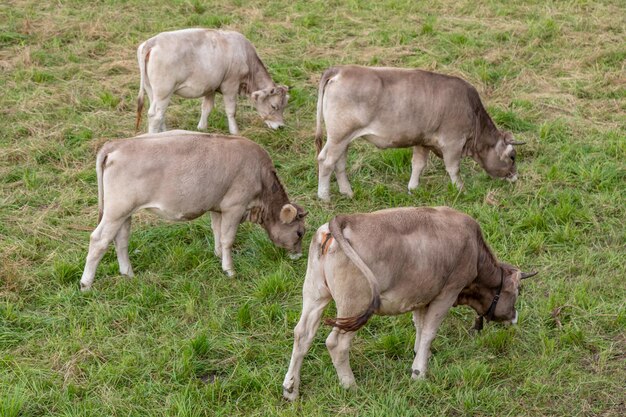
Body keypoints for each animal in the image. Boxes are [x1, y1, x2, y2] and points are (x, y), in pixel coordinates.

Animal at [78, 129, 308, 290]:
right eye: (300, 232)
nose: (298, 256)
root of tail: (117, 143)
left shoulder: (218, 206)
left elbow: (217, 232)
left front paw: (218, 256)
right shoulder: (235, 206)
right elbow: (228, 238)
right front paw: (230, 270)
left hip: (124, 212)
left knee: (121, 239)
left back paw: (128, 274)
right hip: (117, 210)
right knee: (99, 240)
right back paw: (86, 284)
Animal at [135, 29, 288, 136]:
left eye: (284, 106)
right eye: (274, 106)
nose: (281, 126)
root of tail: (153, 41)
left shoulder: (211, 87)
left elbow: (206, 108)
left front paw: (201, 128)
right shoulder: (230, 85)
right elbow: (231, 110)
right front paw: (235, 132)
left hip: (151, 90)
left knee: (158, 113)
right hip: (164, 92)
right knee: (155, 116)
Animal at [282, 206, 532, 398]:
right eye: (517, 291)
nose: (514, 317)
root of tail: (344, 221)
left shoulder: (422, 295)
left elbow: (420, 326)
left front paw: (419, 355)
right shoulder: (448, 292)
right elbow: (430, 330)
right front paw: (419, 374)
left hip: (315, 293)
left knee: (302, 334)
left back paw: (290, 389)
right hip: (353, 305)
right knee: (336, 343)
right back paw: (350, 385)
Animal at [314, 66, 524, 201]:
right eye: (512, 156)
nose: (515, 177)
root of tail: (341, 69)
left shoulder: (423, 141)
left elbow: (418, 165)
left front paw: (413, 189)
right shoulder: (453, 142)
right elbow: (453, 168)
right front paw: (461, 190)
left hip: (343, 138)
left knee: (339, 163)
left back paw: (347, 193)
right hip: (339, 135)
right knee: (326, 161)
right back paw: (324, 197)